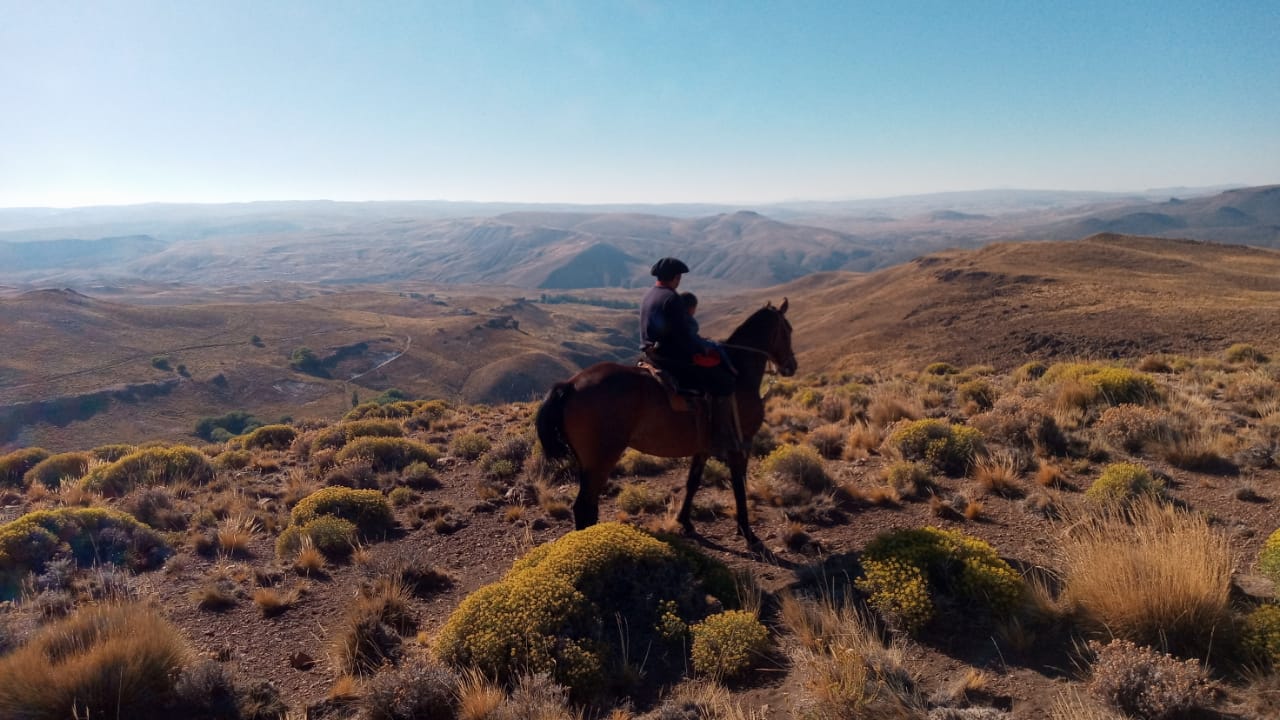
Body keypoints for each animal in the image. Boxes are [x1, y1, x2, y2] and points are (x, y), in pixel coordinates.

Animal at [527, 297, 788, 548]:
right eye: (788, 329)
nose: (791, 365)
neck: (740, 374)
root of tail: (570, 385)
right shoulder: (741, 444)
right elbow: (739, 485)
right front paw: (747, 533)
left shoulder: (703, 447)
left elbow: (693, 482)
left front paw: (685, 522)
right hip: (601, 460)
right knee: (585, 507)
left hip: (587, 462)